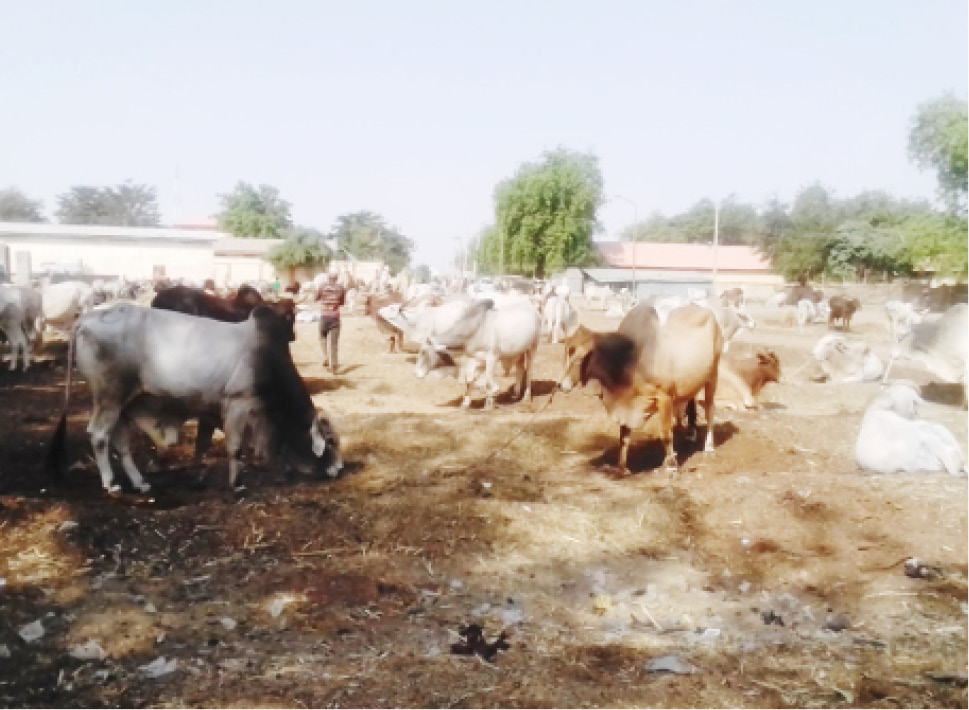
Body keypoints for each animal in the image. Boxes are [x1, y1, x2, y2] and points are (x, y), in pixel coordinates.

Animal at [52, 306, 344, 496]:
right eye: (330, 441)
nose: (339, 469)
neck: (268, 359)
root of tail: (84, 319)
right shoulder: (238, 404)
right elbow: (235, 448)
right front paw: (237, 484)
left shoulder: (209, 410)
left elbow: (202, 446)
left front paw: (198, 476)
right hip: (109, 397)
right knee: (99, 435)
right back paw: (111, 483)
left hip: (123, 403)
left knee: (121, 442)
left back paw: (140, 483)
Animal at [572, 304, 724, 476]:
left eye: (579, 356)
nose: (561, 383)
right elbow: (624, 436)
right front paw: (622, 467)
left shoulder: (664, 398)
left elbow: (666, 434)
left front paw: (671, 466)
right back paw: (690, 435)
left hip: (712, 377)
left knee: (710, 410)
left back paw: (708, 448)